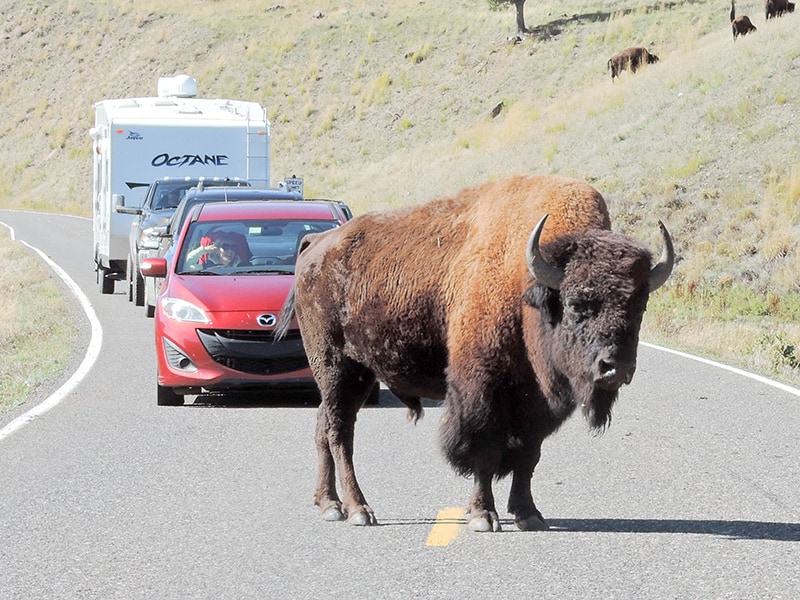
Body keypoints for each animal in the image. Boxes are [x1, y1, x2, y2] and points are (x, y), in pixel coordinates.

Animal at [278, 175, 672, 536]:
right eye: (576, 304)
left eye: (639, 307)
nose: (614, 368)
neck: (526, 285)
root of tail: (316, 244)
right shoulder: (482, 391)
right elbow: (485, 450)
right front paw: (483, 515)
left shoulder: (536, 405)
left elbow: (528, 456)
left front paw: (529, 515)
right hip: (337, 367)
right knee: (339, 432)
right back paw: (359, 510)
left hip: (354, 375)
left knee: (324, 424)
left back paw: (329, 504)